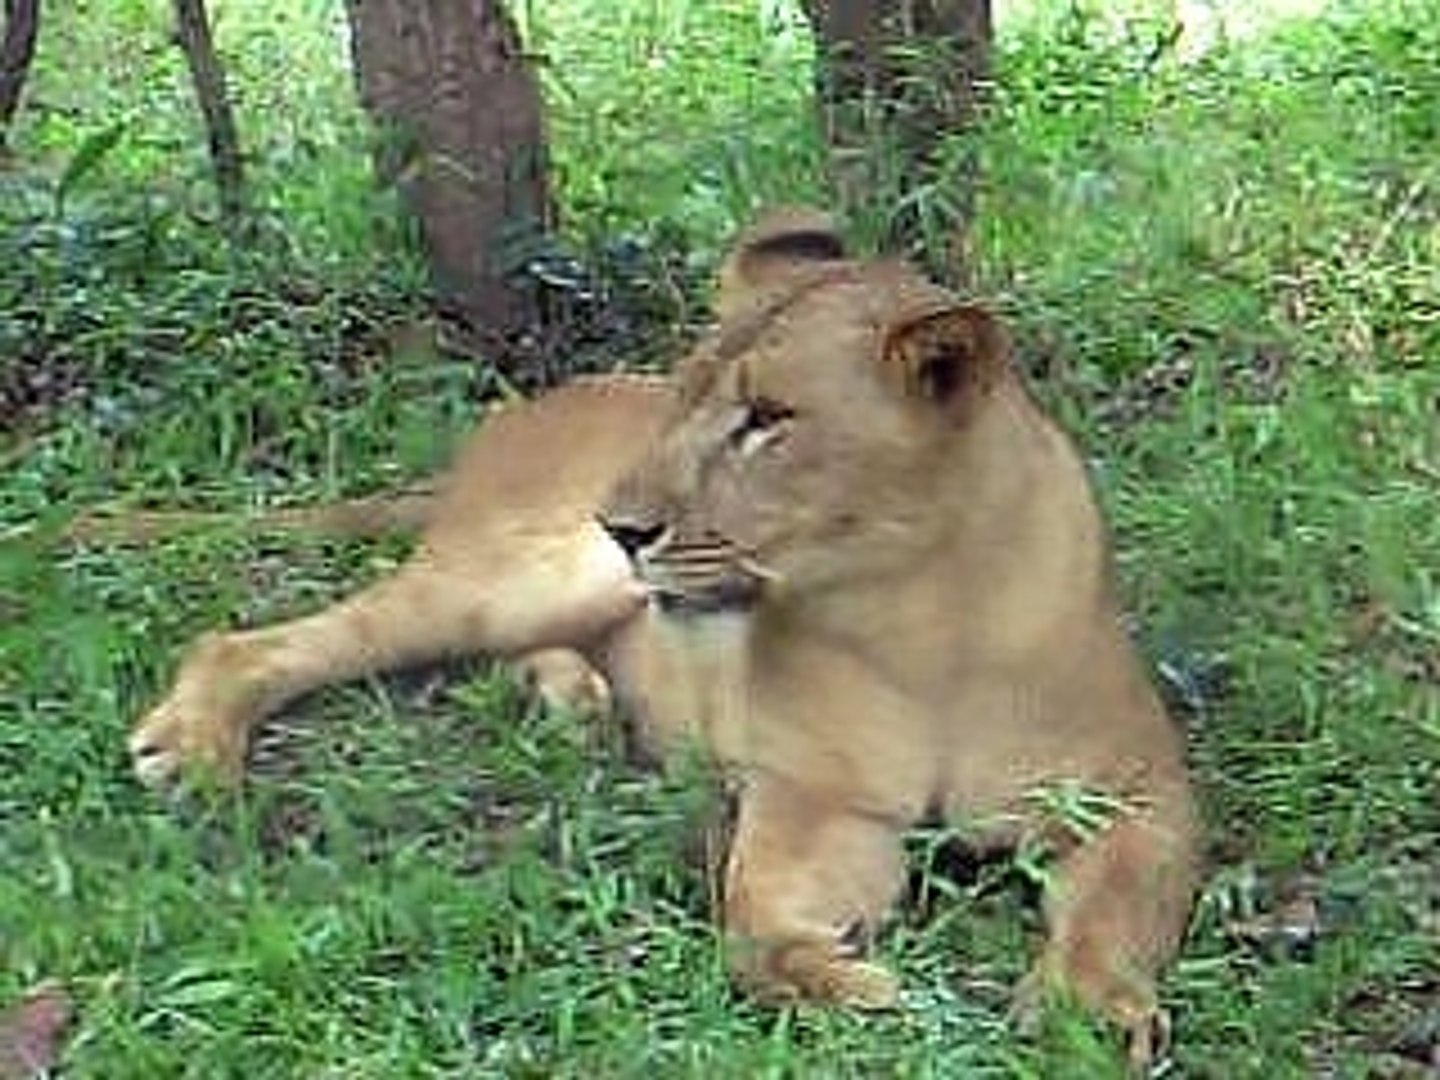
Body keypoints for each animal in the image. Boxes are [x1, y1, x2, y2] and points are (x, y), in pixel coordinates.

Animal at [125, 209, 1196, 1069]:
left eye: (768, 419)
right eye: (686, 399)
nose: (623, 526)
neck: (916, 619)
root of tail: (519, 410)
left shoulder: (1141, 795)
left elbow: (1113, 911)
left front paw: (1091, 1015)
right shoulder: (812, 799)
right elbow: (751, 921)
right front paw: (840, 981)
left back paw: (576, 704)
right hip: (519, 578)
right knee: (256, 643)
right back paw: (191, 750)